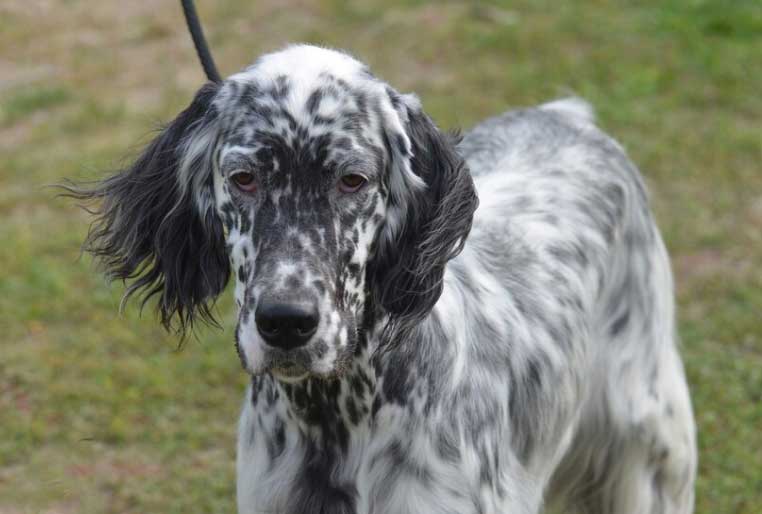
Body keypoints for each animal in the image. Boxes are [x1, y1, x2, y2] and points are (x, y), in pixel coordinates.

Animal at [71, 45, 696, 512]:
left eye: (353, 179)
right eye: (243, 177)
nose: (286, 323)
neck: (335, 420)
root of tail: (567, 115)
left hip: (653, 453)